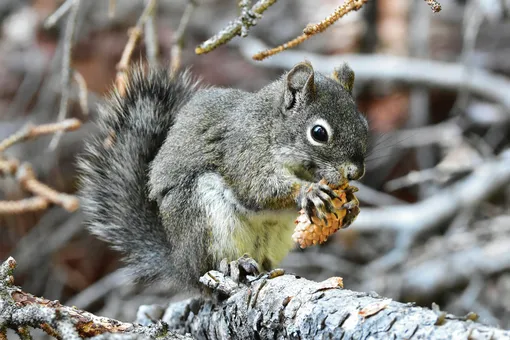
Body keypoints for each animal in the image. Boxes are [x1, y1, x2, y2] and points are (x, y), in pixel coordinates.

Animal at [77, 61, 368, 290]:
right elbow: (256, 188)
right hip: (203, 216)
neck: (271, 128)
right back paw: (233, 264)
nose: (356, 172)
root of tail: (180, 264)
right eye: (319, 133)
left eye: (363, 123)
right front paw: (309, 191)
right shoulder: (242, 152)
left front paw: (351, 204)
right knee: (211, 262)